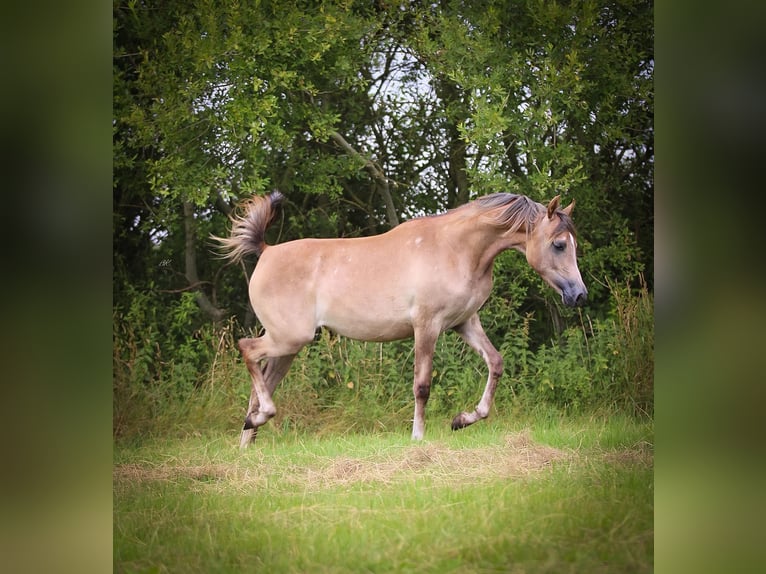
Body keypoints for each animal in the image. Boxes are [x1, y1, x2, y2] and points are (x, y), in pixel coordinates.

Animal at [214, 191, 587, 447]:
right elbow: (422, 385)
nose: (579, 295)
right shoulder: (427, 326)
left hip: (288, 347)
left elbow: (495, 363)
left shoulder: (464, 323)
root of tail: (267, 252)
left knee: (261, 381)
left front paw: (462, 419)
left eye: (573, 244)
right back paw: (259, 420)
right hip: (289, 338)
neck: (458, 248)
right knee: (247, 349)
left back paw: (249, 435)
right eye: (558, 244)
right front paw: (418, 437)